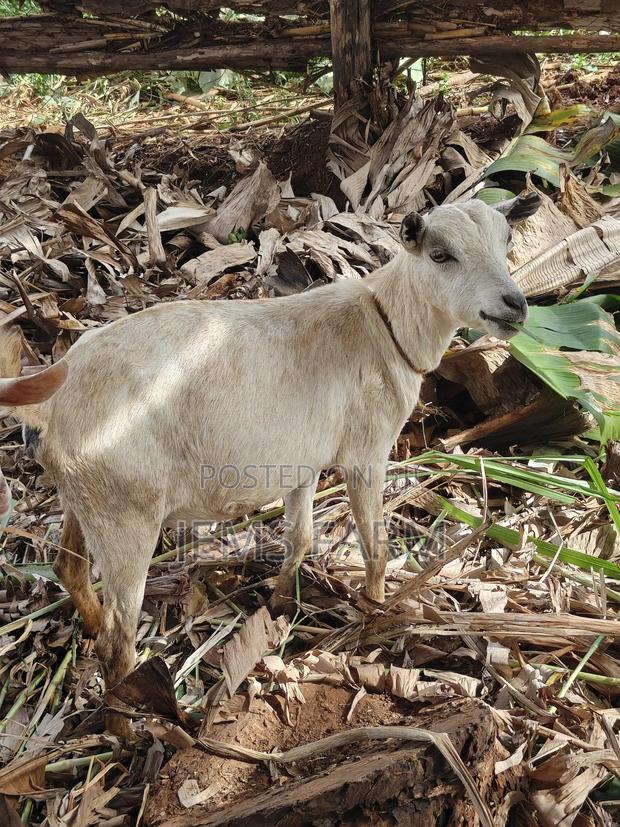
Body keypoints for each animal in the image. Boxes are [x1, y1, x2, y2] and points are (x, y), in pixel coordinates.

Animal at [0, 194, 539, 735]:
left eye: (506, 240)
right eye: (441, 255)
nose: (515, 305)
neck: (384, 322)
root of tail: (52, 403)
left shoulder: (302, 462)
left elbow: (300, 539)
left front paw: (280, 605)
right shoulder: (366, 452)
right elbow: (375, 546)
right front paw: (374, 611)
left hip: (85, 497)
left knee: (69, 567)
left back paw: (92, 631)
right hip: (126, 515)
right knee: (117, 643)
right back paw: (128, 728)